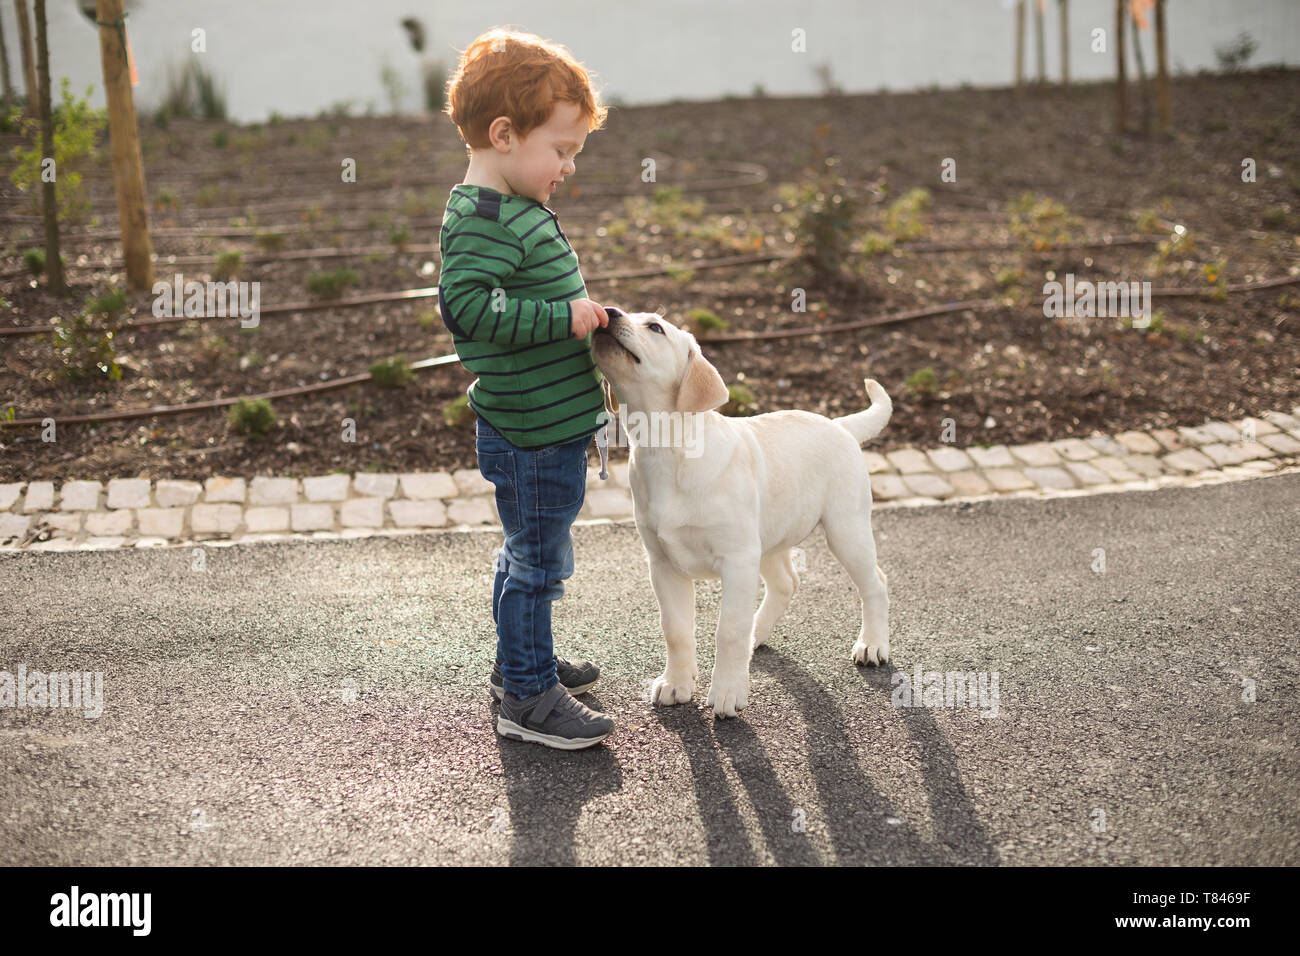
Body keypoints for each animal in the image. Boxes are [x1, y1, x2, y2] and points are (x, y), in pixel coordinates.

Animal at [595, 310, 894, 723]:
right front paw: (676, 683)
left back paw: (872, 644)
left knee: (875, 582)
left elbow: (728, 631)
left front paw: (727, 691)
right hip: (768, 539)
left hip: (844, 529)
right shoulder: (663, 565)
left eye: (655, 327)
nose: (607, 312)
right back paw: (759, 632)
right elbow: (676, 630)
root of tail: (838, 424)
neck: (668, 450)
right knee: (786, 583)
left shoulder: (736, 560)